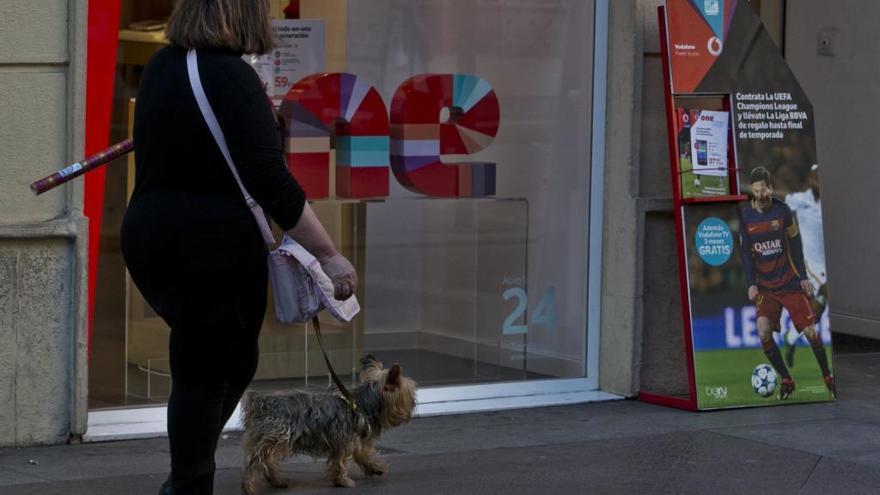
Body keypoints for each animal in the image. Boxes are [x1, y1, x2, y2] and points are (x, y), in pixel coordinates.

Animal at [241, 354, 420, 494]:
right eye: (410, 393)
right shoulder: (345, 442)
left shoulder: (356, 441)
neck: (362, 404)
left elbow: (364, 455)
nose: (414, 404)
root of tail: (261, 401)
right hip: (277, 436)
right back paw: (249, 486)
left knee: (268, 460)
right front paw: (344, 481)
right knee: (256, 460)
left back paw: (277, 481)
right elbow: (341, 462)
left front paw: (376, 468)